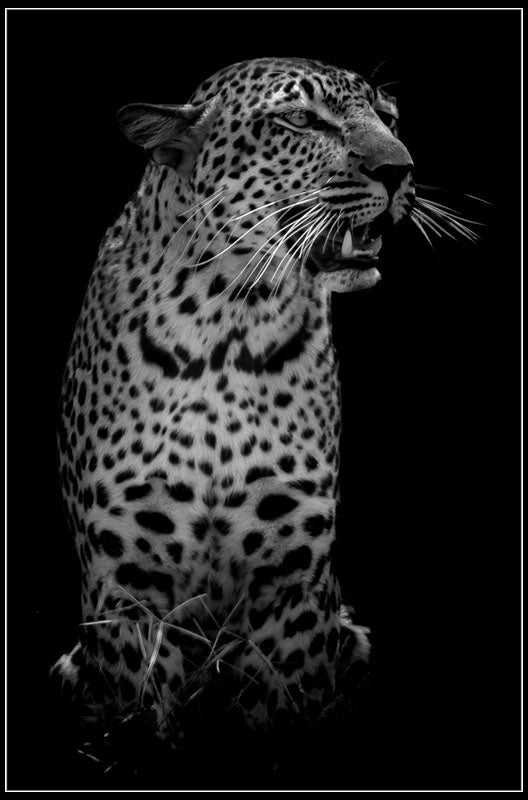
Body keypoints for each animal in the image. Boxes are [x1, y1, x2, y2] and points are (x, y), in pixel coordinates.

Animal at [53, 56, 415, 738]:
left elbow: (285, 698)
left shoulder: (293, 584)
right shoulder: (126, 584)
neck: (228, 322)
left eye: (388, 117)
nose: (401, 167)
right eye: (300, 119)